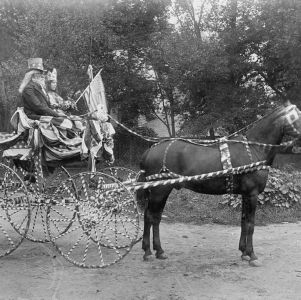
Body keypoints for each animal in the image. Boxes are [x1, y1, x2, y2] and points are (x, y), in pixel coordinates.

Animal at [137, 102, 300, 266]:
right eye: (297, 116)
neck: (254, 149)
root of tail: (150, 150)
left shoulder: (245, 195)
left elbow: (243, 222)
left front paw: (244, 252)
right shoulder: (252, 194)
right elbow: (251, 224)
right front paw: (252, 255)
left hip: (162, 191)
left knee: (155, 217)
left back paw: (158, 251)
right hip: (160, 191)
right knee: (150, 216)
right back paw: (148, 252)